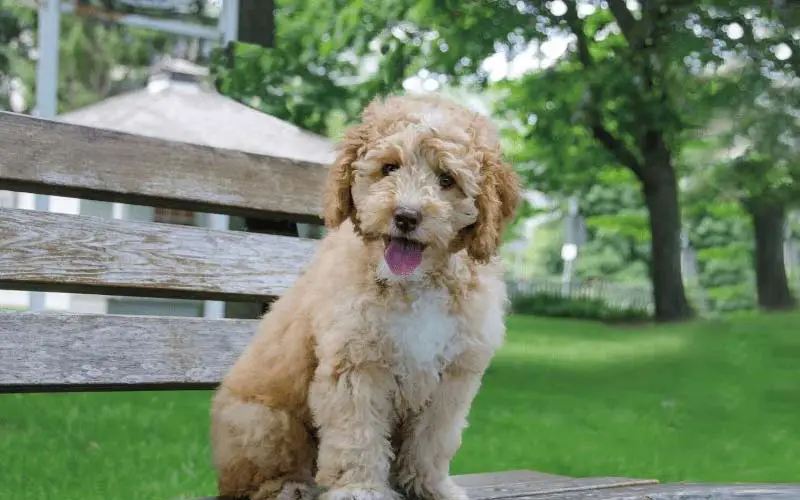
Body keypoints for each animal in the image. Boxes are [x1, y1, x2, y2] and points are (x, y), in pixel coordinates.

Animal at [209, 93, 520, 500]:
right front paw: (359, 488)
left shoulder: (453, 376)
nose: (406, 216)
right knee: (256, 478)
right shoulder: (356, 363)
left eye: (446, 179)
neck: (414, 284)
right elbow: (357, 433)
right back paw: (289, 487)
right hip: (264, 421)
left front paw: (432, 486)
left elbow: (433, 440)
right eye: (389, 167)